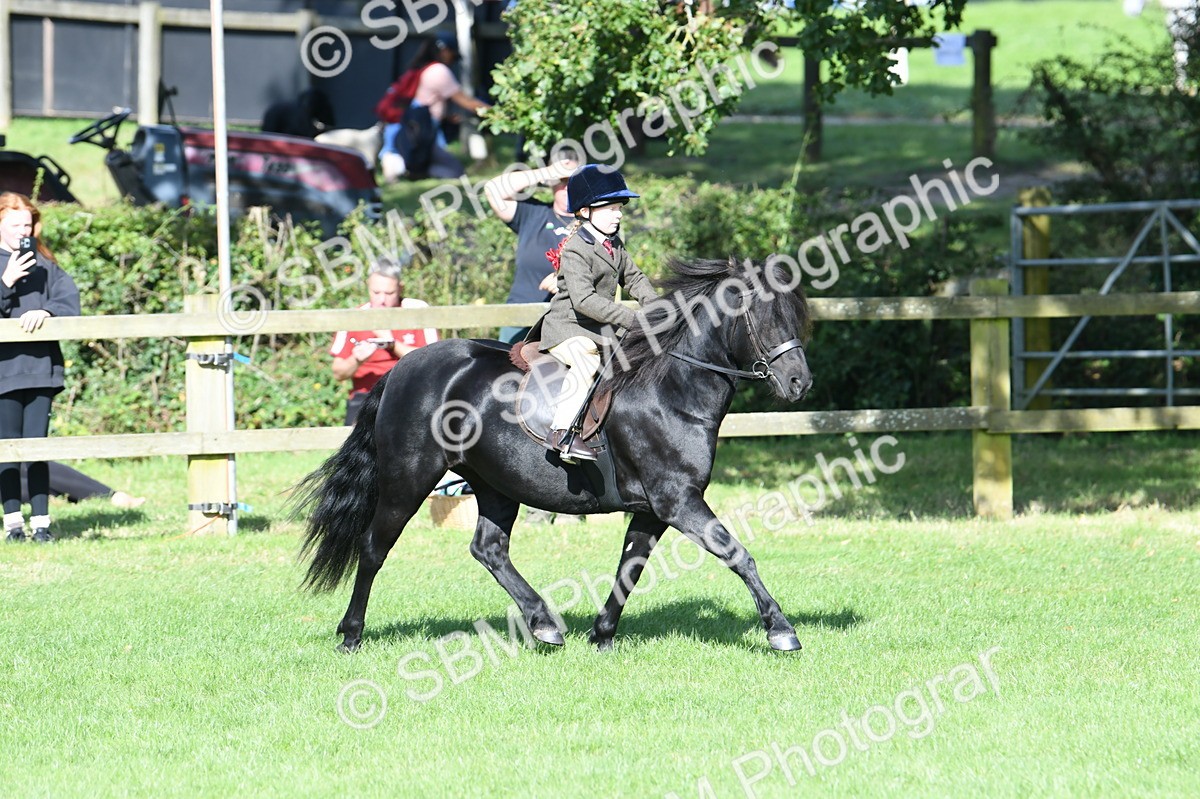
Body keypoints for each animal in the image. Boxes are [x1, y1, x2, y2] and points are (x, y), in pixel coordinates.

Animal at [296, 257, 814, 652]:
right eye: (764, 316)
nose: (799, 383)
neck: (671, 388)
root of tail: (404, 366)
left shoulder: (654, 509)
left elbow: (630, 568)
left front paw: (602, 635)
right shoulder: (679, 501)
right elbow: (738, 554)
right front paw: (781, 631)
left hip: (495, 484)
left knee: (488, 548)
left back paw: (543, 623)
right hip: (408, 479)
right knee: (374, 548)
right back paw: (351, 635)